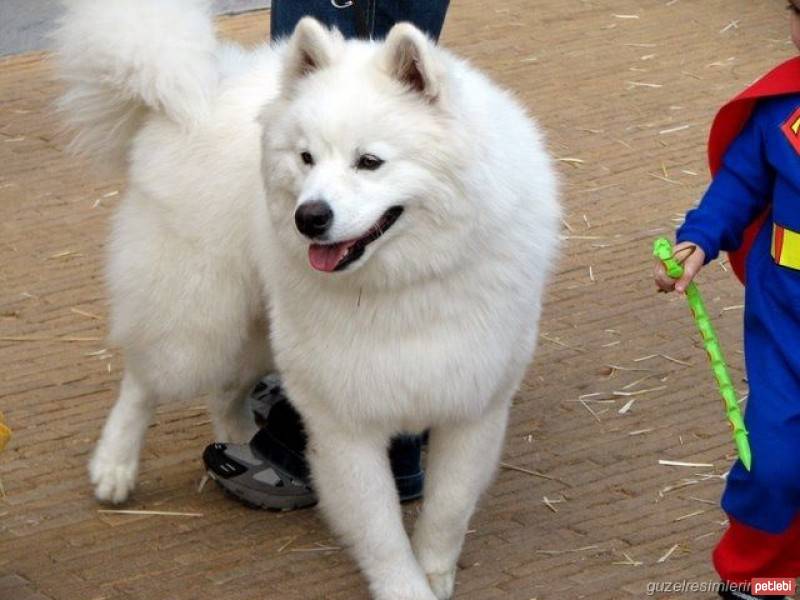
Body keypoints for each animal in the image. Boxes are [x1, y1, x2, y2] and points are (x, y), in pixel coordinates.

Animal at [56, 2, 560, 596]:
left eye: (370, 161)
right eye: (306, 158)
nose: (309, 217)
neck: (402, 284)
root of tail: (196, 90)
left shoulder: (473, 407)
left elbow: (447, 512)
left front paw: (435, 575)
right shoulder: (345, 423)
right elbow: (382, 533)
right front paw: (406, 586)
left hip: (260, 331)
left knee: (224, 392)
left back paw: (240, 442)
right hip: (199, 323)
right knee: (144, 380)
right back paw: (114, 466)